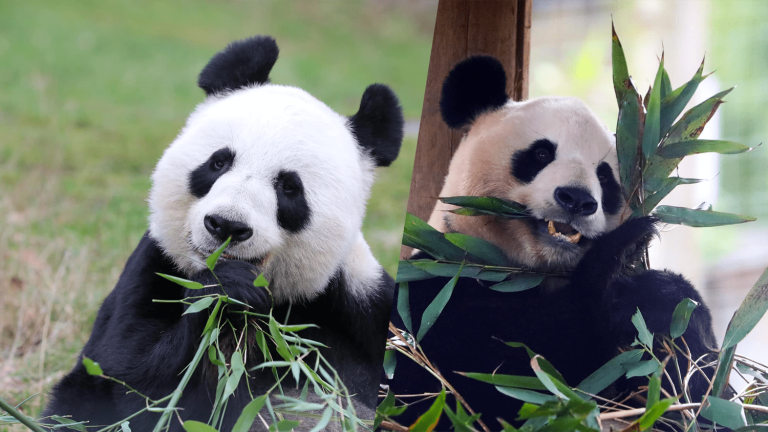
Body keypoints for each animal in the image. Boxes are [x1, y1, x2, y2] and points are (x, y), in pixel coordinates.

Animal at [42, 35, 404, 430]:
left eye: (289, 187)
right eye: (218, 162)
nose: (226, 225)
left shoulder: (359, 303)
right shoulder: (155, 268)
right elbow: (131, 381)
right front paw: (225, 290)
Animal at [390, 56, 720, 428]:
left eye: (604, 176)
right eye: (541, 154)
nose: (576, 199)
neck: (531, 271)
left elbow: (694, 393)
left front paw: (663, 299)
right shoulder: (430, 289)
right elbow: (497, 370)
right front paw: (618, 257)